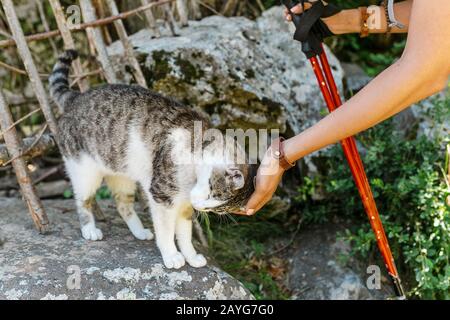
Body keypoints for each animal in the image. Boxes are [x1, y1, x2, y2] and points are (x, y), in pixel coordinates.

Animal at [48, 51, 256, 268]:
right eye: (211, 190)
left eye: (218, 209)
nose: (199, 205)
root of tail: (77, 97)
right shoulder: (162, 196)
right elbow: (166, 230)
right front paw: (172, 256)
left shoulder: (184, 205)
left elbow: (184, 234)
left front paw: (191, 257)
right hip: (84, 172)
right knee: (83, 200)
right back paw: (89, 230)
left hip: (122, 176)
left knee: (123, 204)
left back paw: (139, 232)